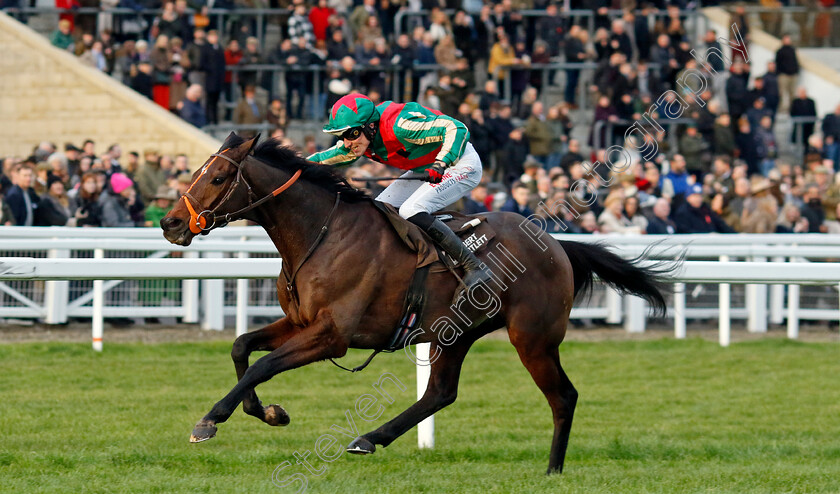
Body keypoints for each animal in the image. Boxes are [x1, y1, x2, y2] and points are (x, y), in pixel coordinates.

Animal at [159, 133, 668, 472]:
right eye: (196, 171)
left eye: (218, 176)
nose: (170, 223)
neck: (321, 232)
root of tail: (556, 245)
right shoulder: (300, 322)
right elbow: (242, 347)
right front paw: (266, 412)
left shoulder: (332, 335)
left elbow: (264, 365)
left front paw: (210, 420)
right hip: (456, 334)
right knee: (440, 392)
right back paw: (370, 438)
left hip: (533, 338)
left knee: (563, 396)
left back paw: (552, 470)